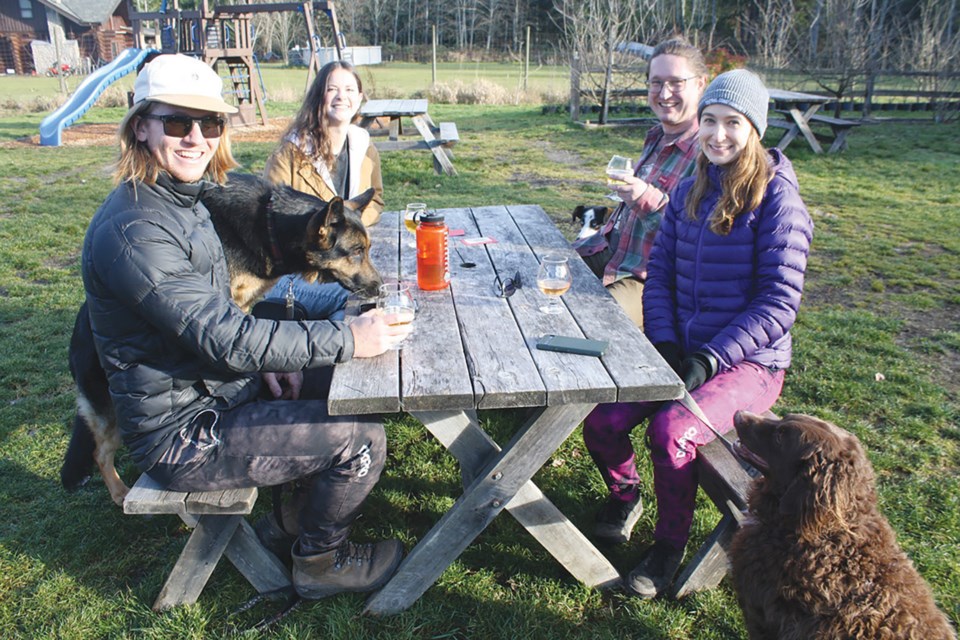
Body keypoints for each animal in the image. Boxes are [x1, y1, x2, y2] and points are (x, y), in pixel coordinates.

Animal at [58, 172, 382, 508]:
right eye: (356, 251)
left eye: (367, 248)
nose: (381, 287)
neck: (271, 227)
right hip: (108, 408)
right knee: (99, 452)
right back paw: (120, 492)